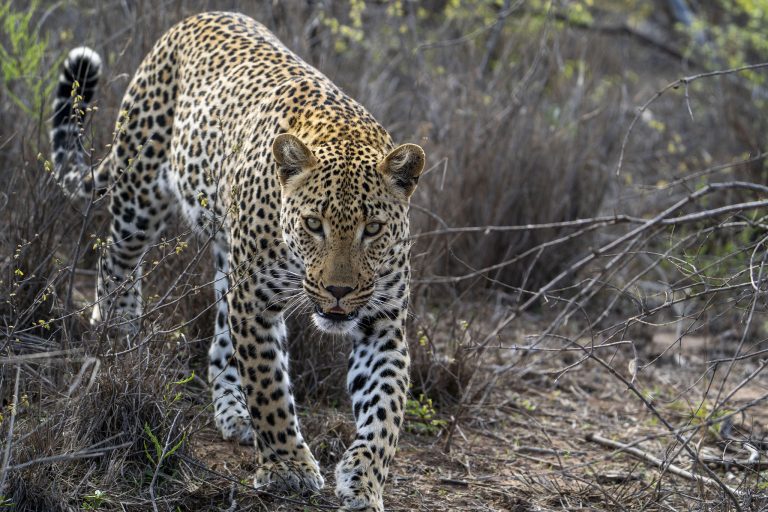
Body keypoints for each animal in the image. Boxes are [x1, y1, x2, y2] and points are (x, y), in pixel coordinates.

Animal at [49, 12, 425, 512]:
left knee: (220, 343)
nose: (339, 291)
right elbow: (269, 387)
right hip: (139, 194)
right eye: (314, 224)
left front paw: (363, 481)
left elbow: (385, 407)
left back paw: (233, 412)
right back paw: (117, 335)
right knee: (116, 260)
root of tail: (194, 19)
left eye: (373, 228)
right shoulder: (256, 302)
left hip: (227, 258)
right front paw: (288, 467)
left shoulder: (382, 321)